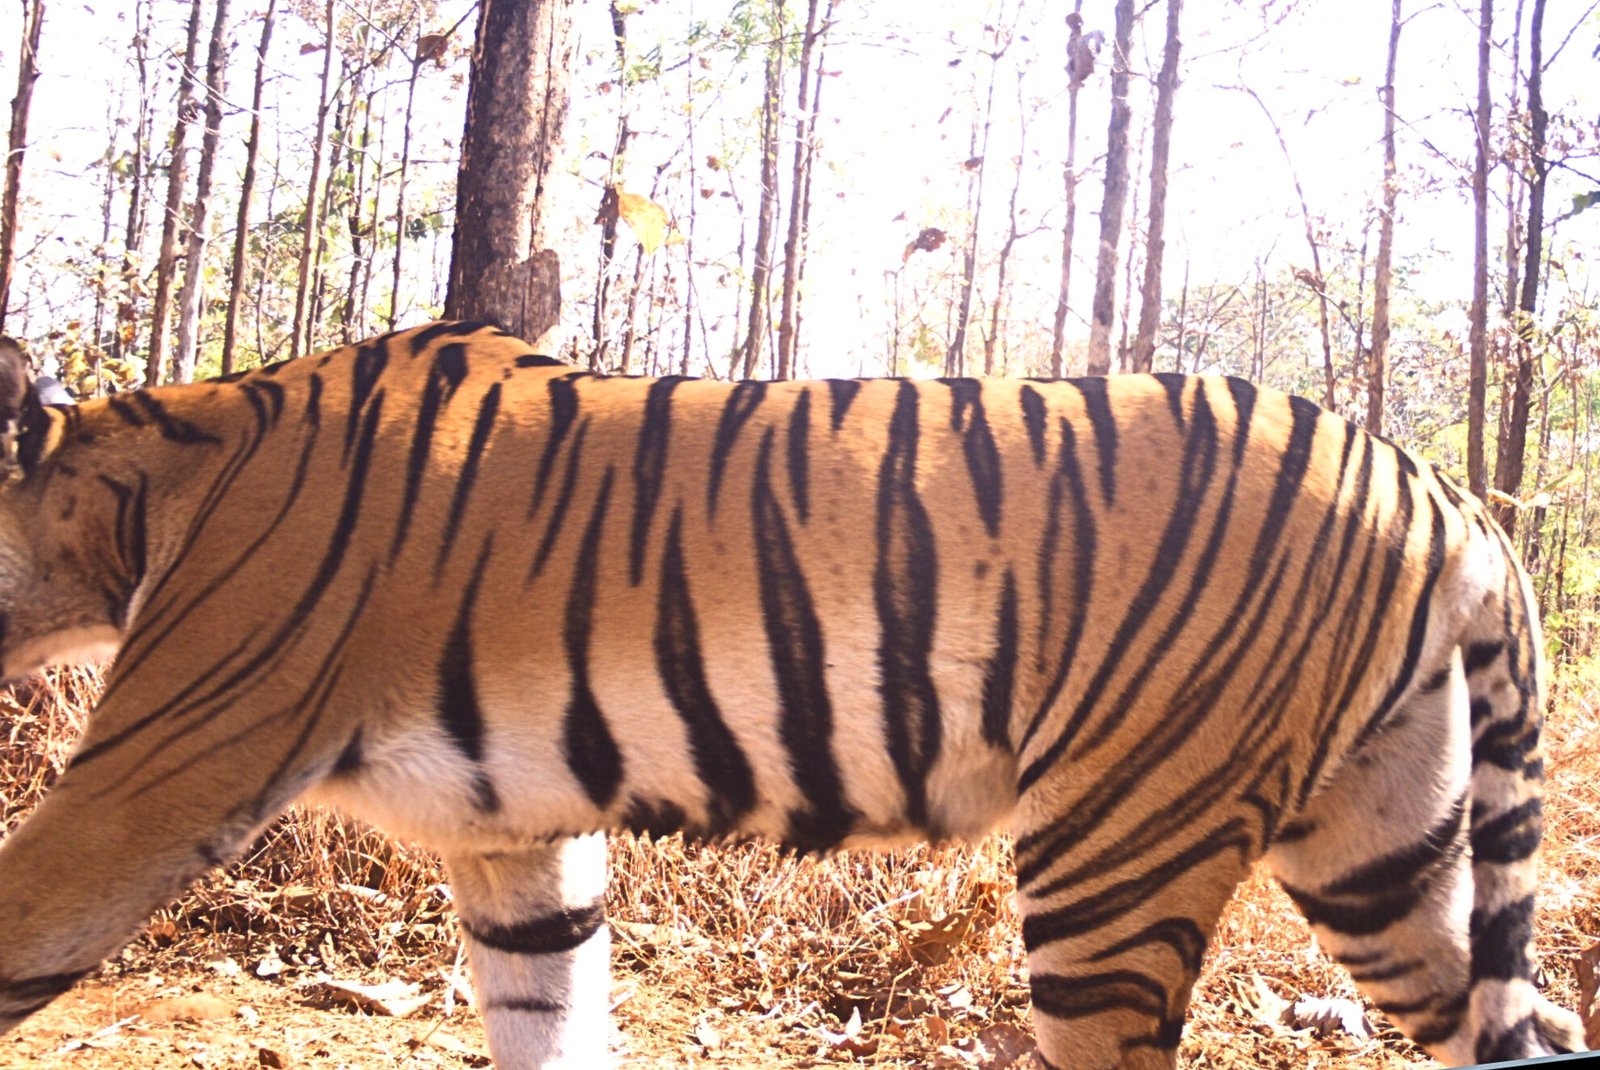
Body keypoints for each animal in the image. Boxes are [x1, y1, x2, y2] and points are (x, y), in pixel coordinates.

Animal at [0, 321, 1584, 1069]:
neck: (141, 495)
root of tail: (1442, 489)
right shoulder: (519, 843)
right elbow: (549, 1016)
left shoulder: (157, 767)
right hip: (1387, 858)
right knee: (1526, 1024)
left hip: (1120, 855)